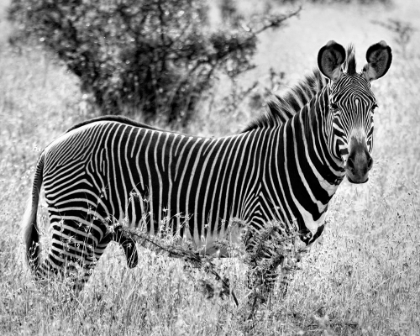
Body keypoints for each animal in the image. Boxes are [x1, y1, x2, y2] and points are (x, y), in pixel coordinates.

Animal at [22, 40, 390, 296]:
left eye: (373, 107)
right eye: (334, 107)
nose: (358, 164)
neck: (291, 164)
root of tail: (56, 142)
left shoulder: (292, 254)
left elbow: (275, 308)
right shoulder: (260, 248)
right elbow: (257, 310)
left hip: (93, 233)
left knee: (66, 289)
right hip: (77, 225)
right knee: (50, 285)